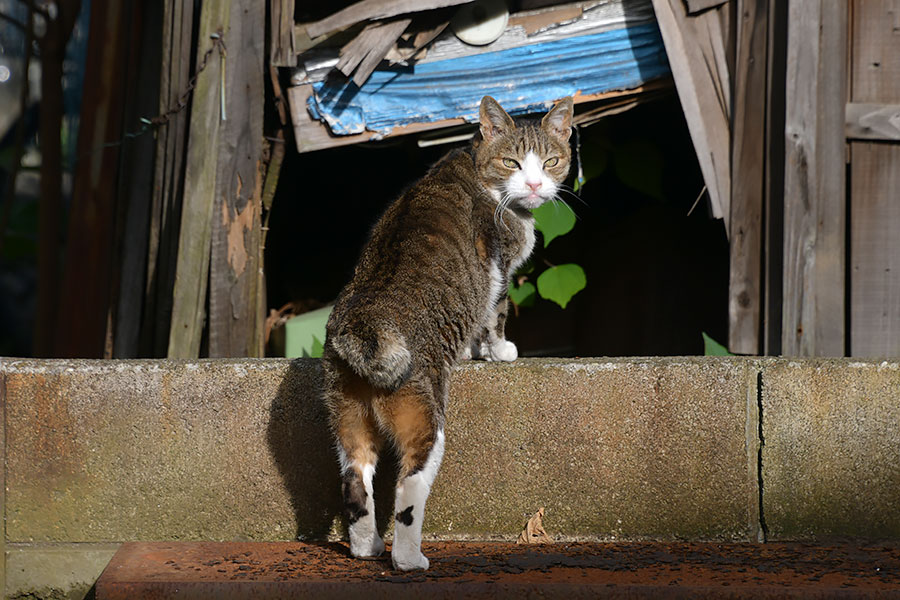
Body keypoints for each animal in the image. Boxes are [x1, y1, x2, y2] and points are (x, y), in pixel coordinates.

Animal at [324, 96, 572, 568]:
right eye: (512, 162)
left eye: (551, 161)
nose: (535, 185)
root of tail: (365, 323)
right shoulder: (497, 267)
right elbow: (495, 312)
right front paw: (499, 351)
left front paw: (473, 352)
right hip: (425, 418)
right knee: (408, 488)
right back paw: (408, 559)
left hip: (346, 417)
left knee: (354, 480)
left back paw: (367, 548)